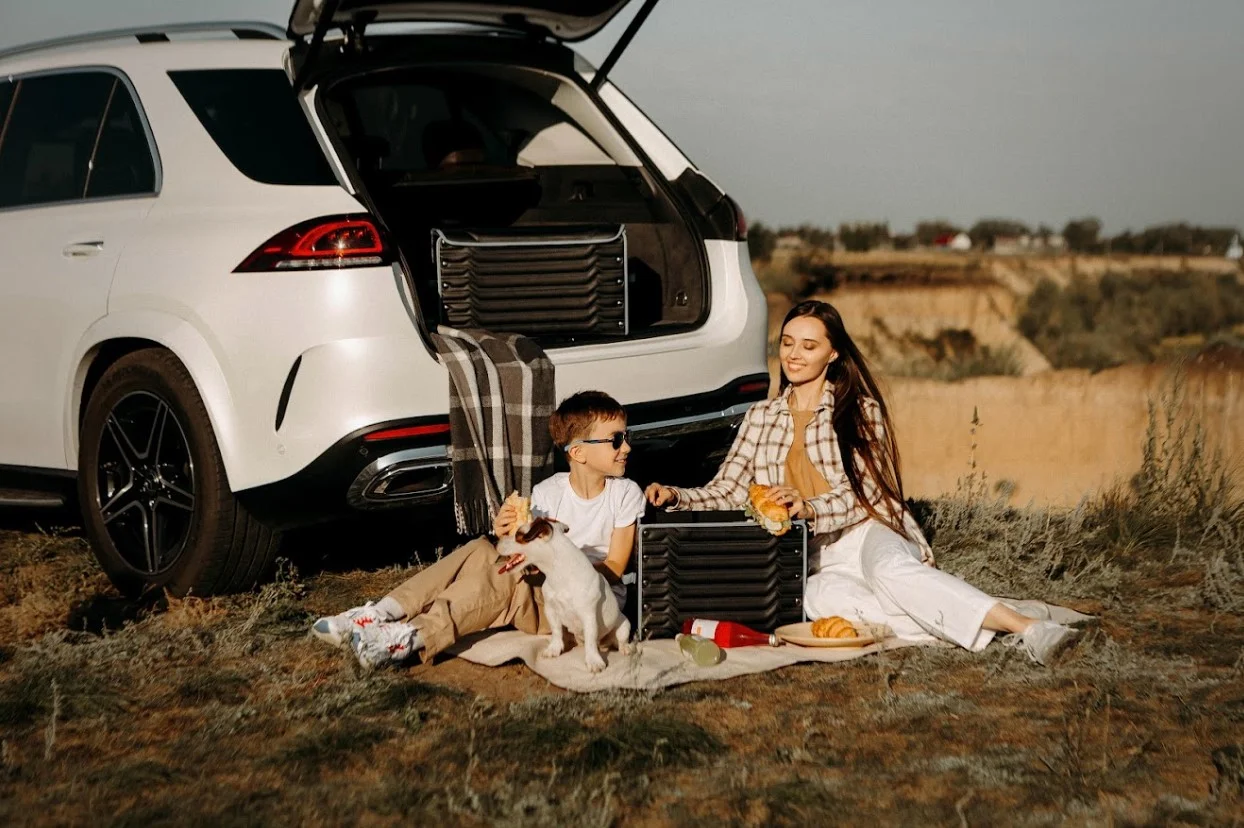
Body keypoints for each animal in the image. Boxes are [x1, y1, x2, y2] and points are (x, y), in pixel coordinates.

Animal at [495, 517, 631, 671]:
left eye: (518, 535)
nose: (497, 541)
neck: (558, 573)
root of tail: (603, 645)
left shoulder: (588, 615)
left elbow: (591, 639)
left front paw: (593, 661)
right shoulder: (550, 609)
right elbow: (556, 631)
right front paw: (554, 649)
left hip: (624, 627)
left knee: (620, 640)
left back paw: (625, 648)